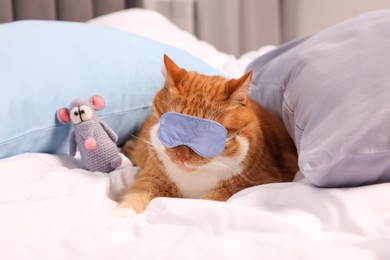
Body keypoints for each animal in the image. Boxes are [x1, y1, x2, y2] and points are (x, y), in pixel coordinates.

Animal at [119, 54, 298, 213]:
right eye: (173, 130)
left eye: (208, 137)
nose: (182, 156)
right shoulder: (151, 180)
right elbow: (135, 199)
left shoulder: (255, 182)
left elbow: (206, 202)